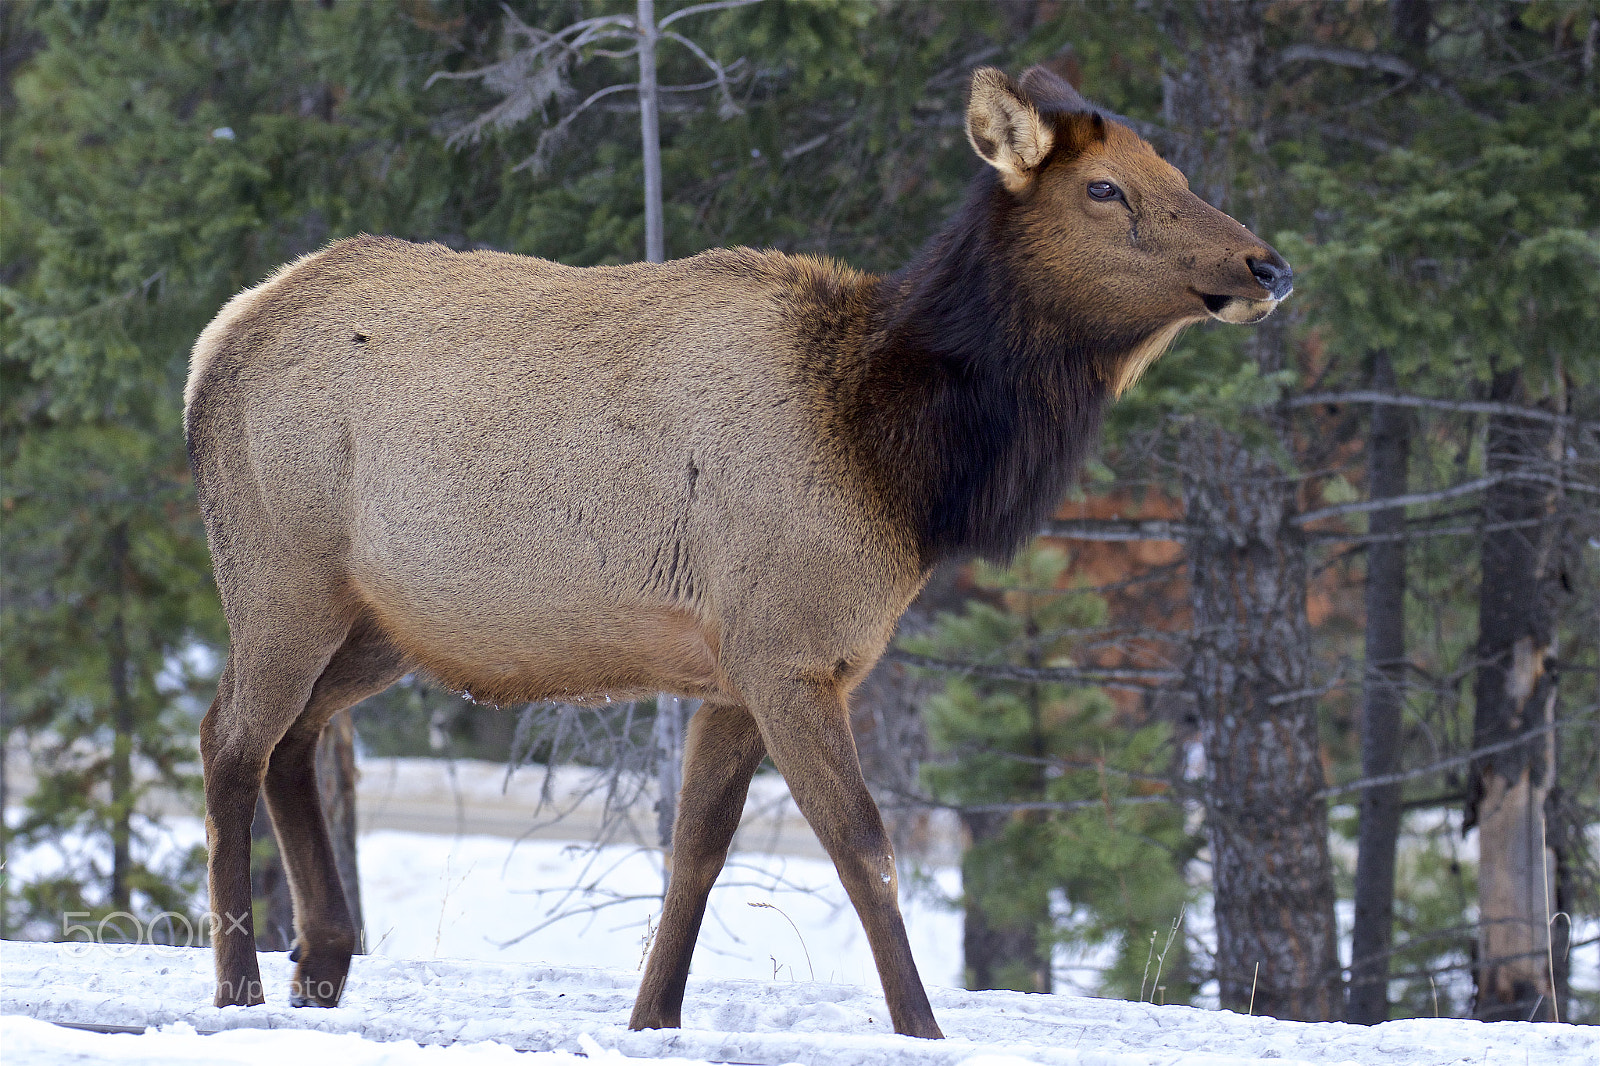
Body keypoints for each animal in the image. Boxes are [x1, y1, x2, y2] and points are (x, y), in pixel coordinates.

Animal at [185, 66, 1291, 1040]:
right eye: (1104, 188)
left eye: (1174, 170)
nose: (1266, 266)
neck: (901, 466)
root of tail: (214, 342)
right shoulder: (788, 649)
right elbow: (864, 846)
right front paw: (924, 1026)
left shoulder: (731, 670)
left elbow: (697, 852)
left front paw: (651, 1015)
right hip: (280, 574)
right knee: (230, 737)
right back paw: (241, 980)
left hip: (381, 623)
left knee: (293, 740)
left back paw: (323, 961)